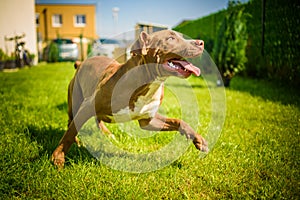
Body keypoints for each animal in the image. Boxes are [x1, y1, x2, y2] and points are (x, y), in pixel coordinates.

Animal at [51, 29, 209, 167]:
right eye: (170, 38)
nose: (201, 42)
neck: (147, 83)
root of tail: (81, 62)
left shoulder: (148, 121)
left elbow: (178, 121)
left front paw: (199, 140)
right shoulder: (88, 105)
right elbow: (69, 134)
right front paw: (58, 158)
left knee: (97, 119)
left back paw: (107, 133)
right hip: (75, 101)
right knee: (71, 122)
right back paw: (78, 141)